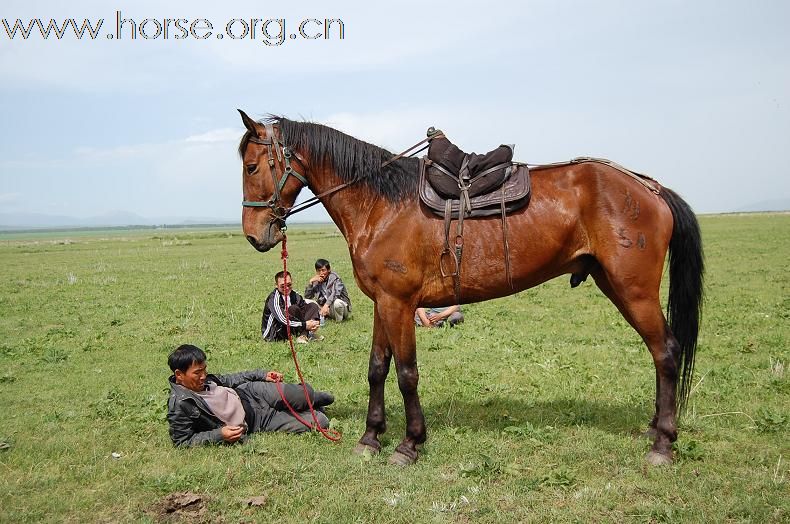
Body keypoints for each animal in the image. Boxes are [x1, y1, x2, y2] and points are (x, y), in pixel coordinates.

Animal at [237, 110, 704, 466]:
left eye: (252, 167)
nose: (255, 235)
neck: (381, 203)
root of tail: (648, 186)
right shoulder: (383, 303)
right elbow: (377, 369)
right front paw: (370, 438)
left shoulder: (399, 303)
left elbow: (406, 373)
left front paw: (410, 444)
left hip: (634, 291)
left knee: (666, 351)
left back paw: (663, 443)